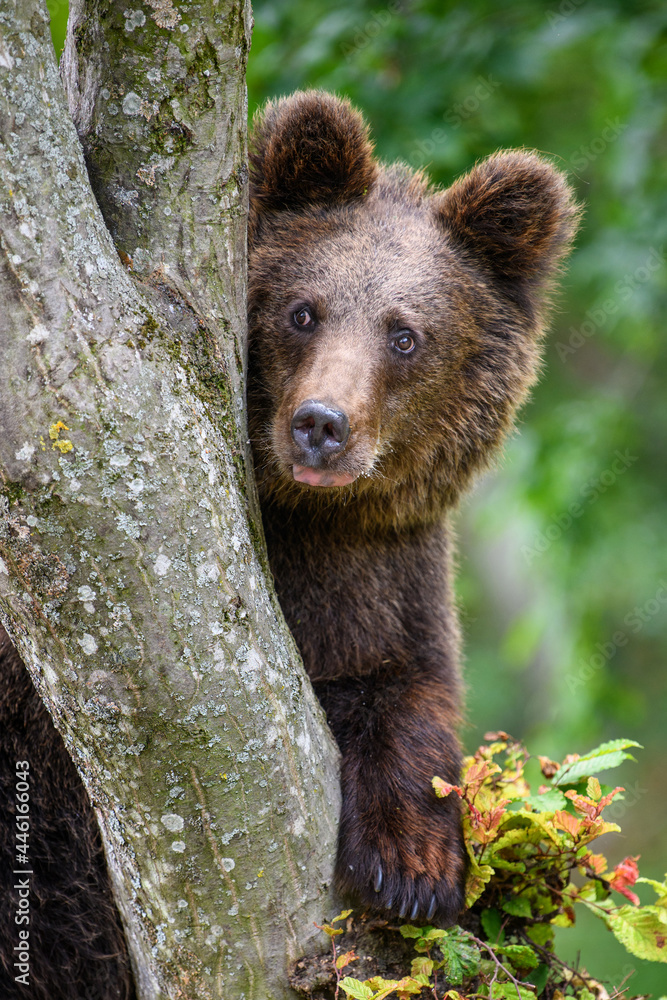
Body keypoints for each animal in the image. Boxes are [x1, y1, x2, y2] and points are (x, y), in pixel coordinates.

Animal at [247, 90, 579, 925]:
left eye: (404, 334)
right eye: (302, 310)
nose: (321, 424)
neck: (309, 515)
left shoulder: (389, 571)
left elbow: (410, 690)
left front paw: (412, 866)